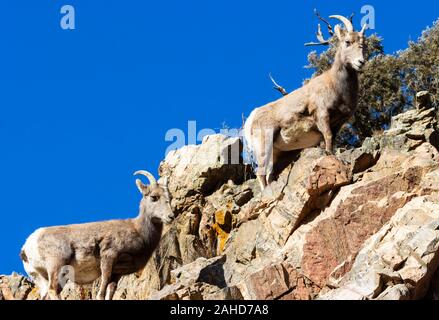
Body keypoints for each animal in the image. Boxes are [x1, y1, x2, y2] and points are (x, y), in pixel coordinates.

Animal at [20, 171, 175, 298]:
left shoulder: (117, 273)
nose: (170, 216)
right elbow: (102, 289)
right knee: (53, 290)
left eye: (169, 197)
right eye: (154, 197)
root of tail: (28, 244)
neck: (138, 231)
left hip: (41, 277)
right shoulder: (108, 257)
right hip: (56, 266)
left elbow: (110, 291)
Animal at [246, 15, 370, 189]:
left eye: (363, 43)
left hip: (281, 155)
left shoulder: (338, 123)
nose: (360, 62)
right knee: (261, 174)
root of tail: (251, 118)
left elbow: (332, 141)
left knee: (270, 175)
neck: (336, 85)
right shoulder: (322, 116)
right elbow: (328, 138)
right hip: (264, 145)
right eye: (347, 42)